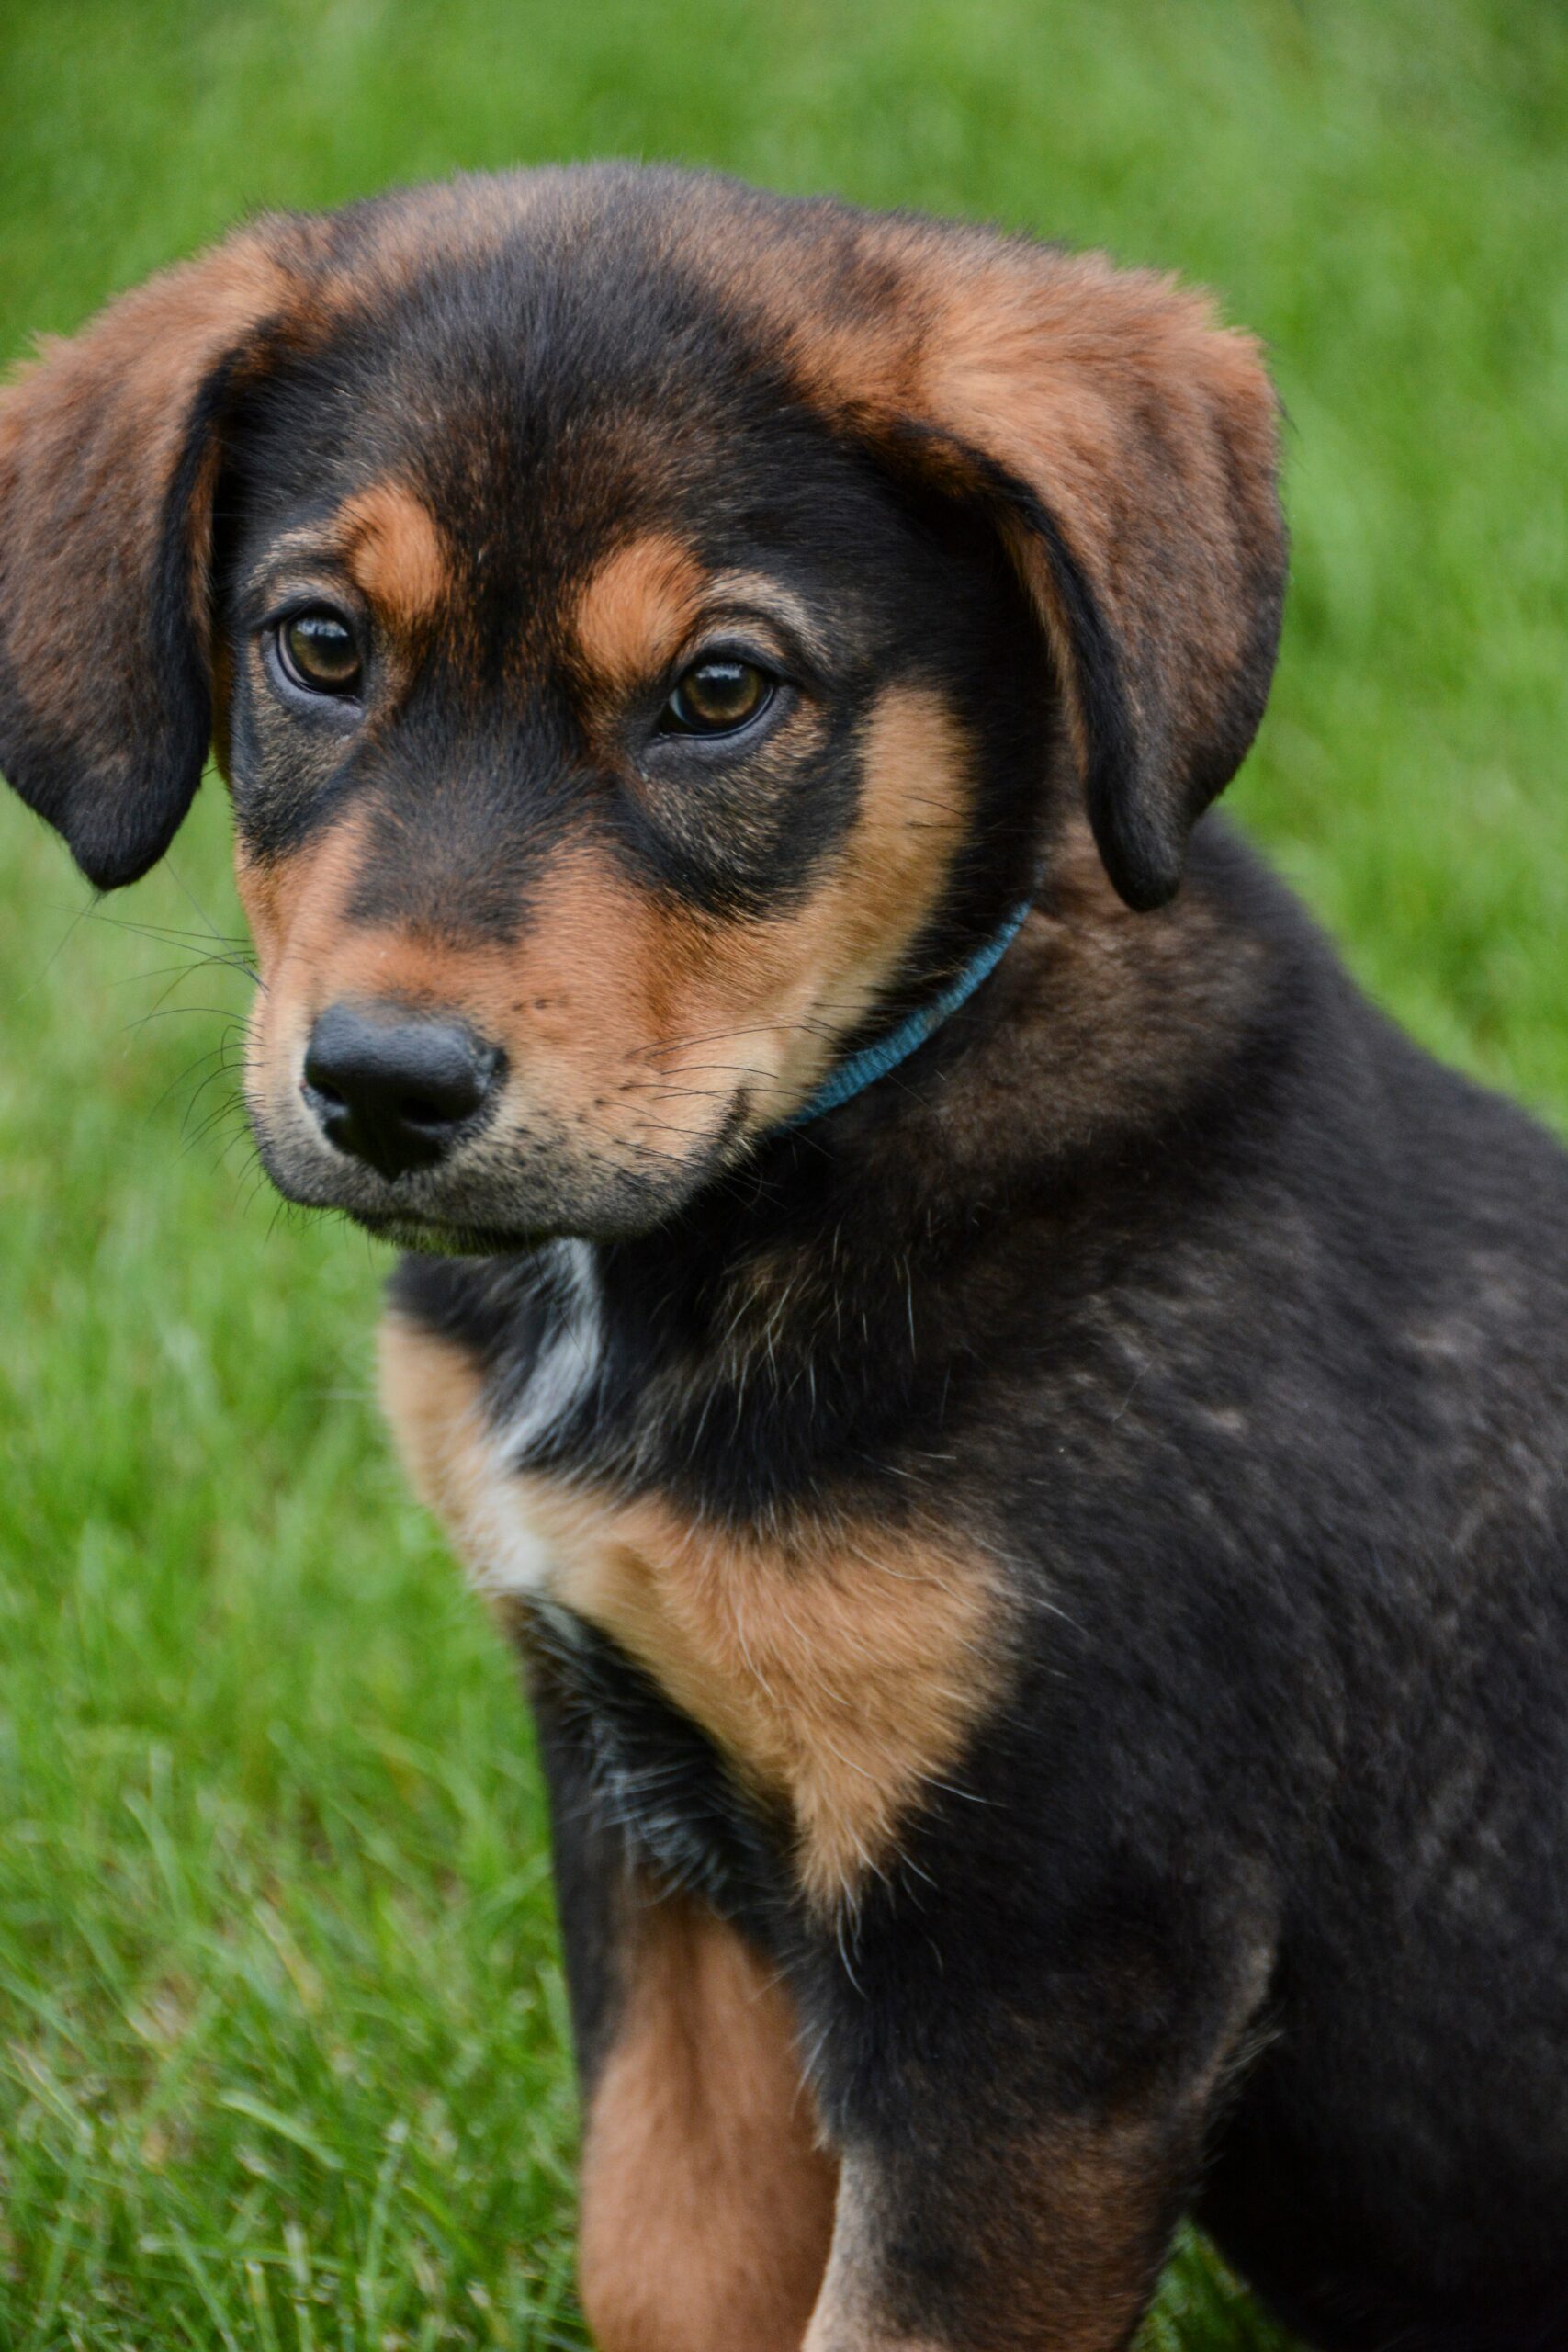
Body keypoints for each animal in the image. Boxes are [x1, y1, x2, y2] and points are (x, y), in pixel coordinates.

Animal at [3, 165, 1568, 2352]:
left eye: (721, 692)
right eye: (317, 645)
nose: (384, 1086)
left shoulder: (1041, 1964)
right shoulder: (647, 1803)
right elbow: (659, 2254)